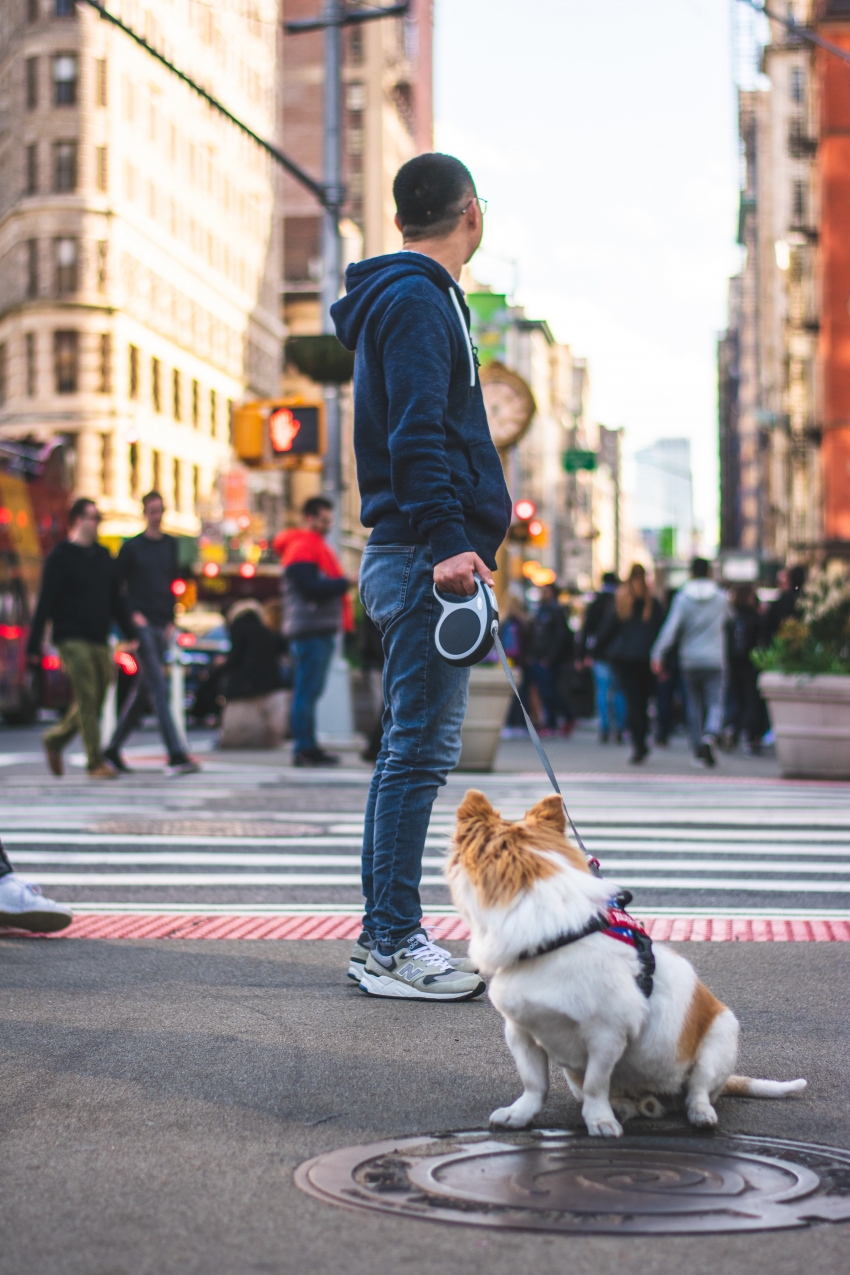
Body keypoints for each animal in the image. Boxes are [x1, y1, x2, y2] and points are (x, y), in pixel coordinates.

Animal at [448, 790, 810, 1142]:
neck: (557, 939)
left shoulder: (606, 1035)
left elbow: (596, 1084)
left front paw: (600, 1121)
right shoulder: (521, 1031)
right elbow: (535, 1083)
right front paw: (520, 1115)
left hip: (719, 1039)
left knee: (698, 1090)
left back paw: (698, 1114)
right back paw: (627, 1106)